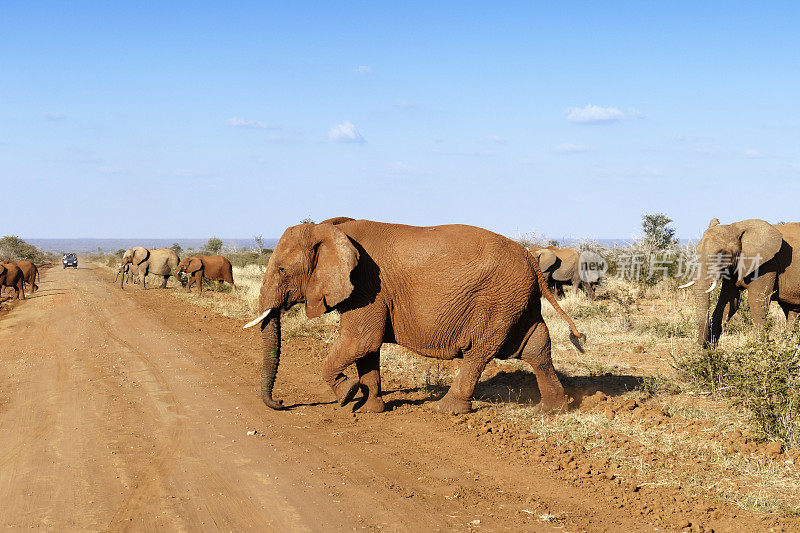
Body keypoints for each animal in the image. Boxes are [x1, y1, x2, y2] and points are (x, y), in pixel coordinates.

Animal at [241, 218, 584, 414]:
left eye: (281, 270)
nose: (280, 404)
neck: (329, 229)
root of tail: (530, 258)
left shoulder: (367, 285)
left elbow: (361, 342)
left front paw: (346, 395)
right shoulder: (369, 291)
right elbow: (367, 350)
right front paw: (370, 409)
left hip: (497, 300)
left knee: (479, 352)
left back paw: (446, 410)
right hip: (517, 300)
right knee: (536, 346)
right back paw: (552, 409)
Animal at [680, 218, 800, 348]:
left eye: (722, 253)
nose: (702, 345)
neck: (735, 227)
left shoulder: (767, 264)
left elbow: (756, 301)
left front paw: (760, 351)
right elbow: (729, 301)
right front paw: (710, 351)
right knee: (791, 311)